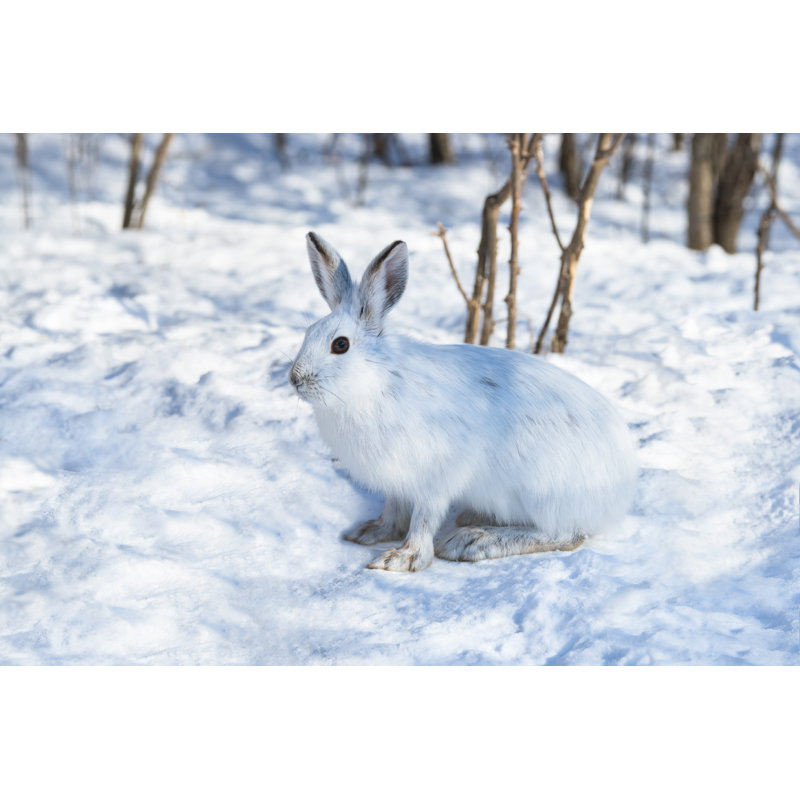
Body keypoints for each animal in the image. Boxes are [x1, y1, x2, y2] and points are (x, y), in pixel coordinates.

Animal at [289, 232, 637, 572]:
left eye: (341, 345)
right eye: (307, 333)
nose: (295, 379)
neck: (377, 380)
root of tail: (618, 489)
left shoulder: (436, 476)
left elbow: (424, 519)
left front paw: (401, 558)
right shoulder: (397, 482)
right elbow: (393, 510)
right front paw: (370, 532)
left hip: (543, 489)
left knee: (568, 534)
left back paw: (473, 540)